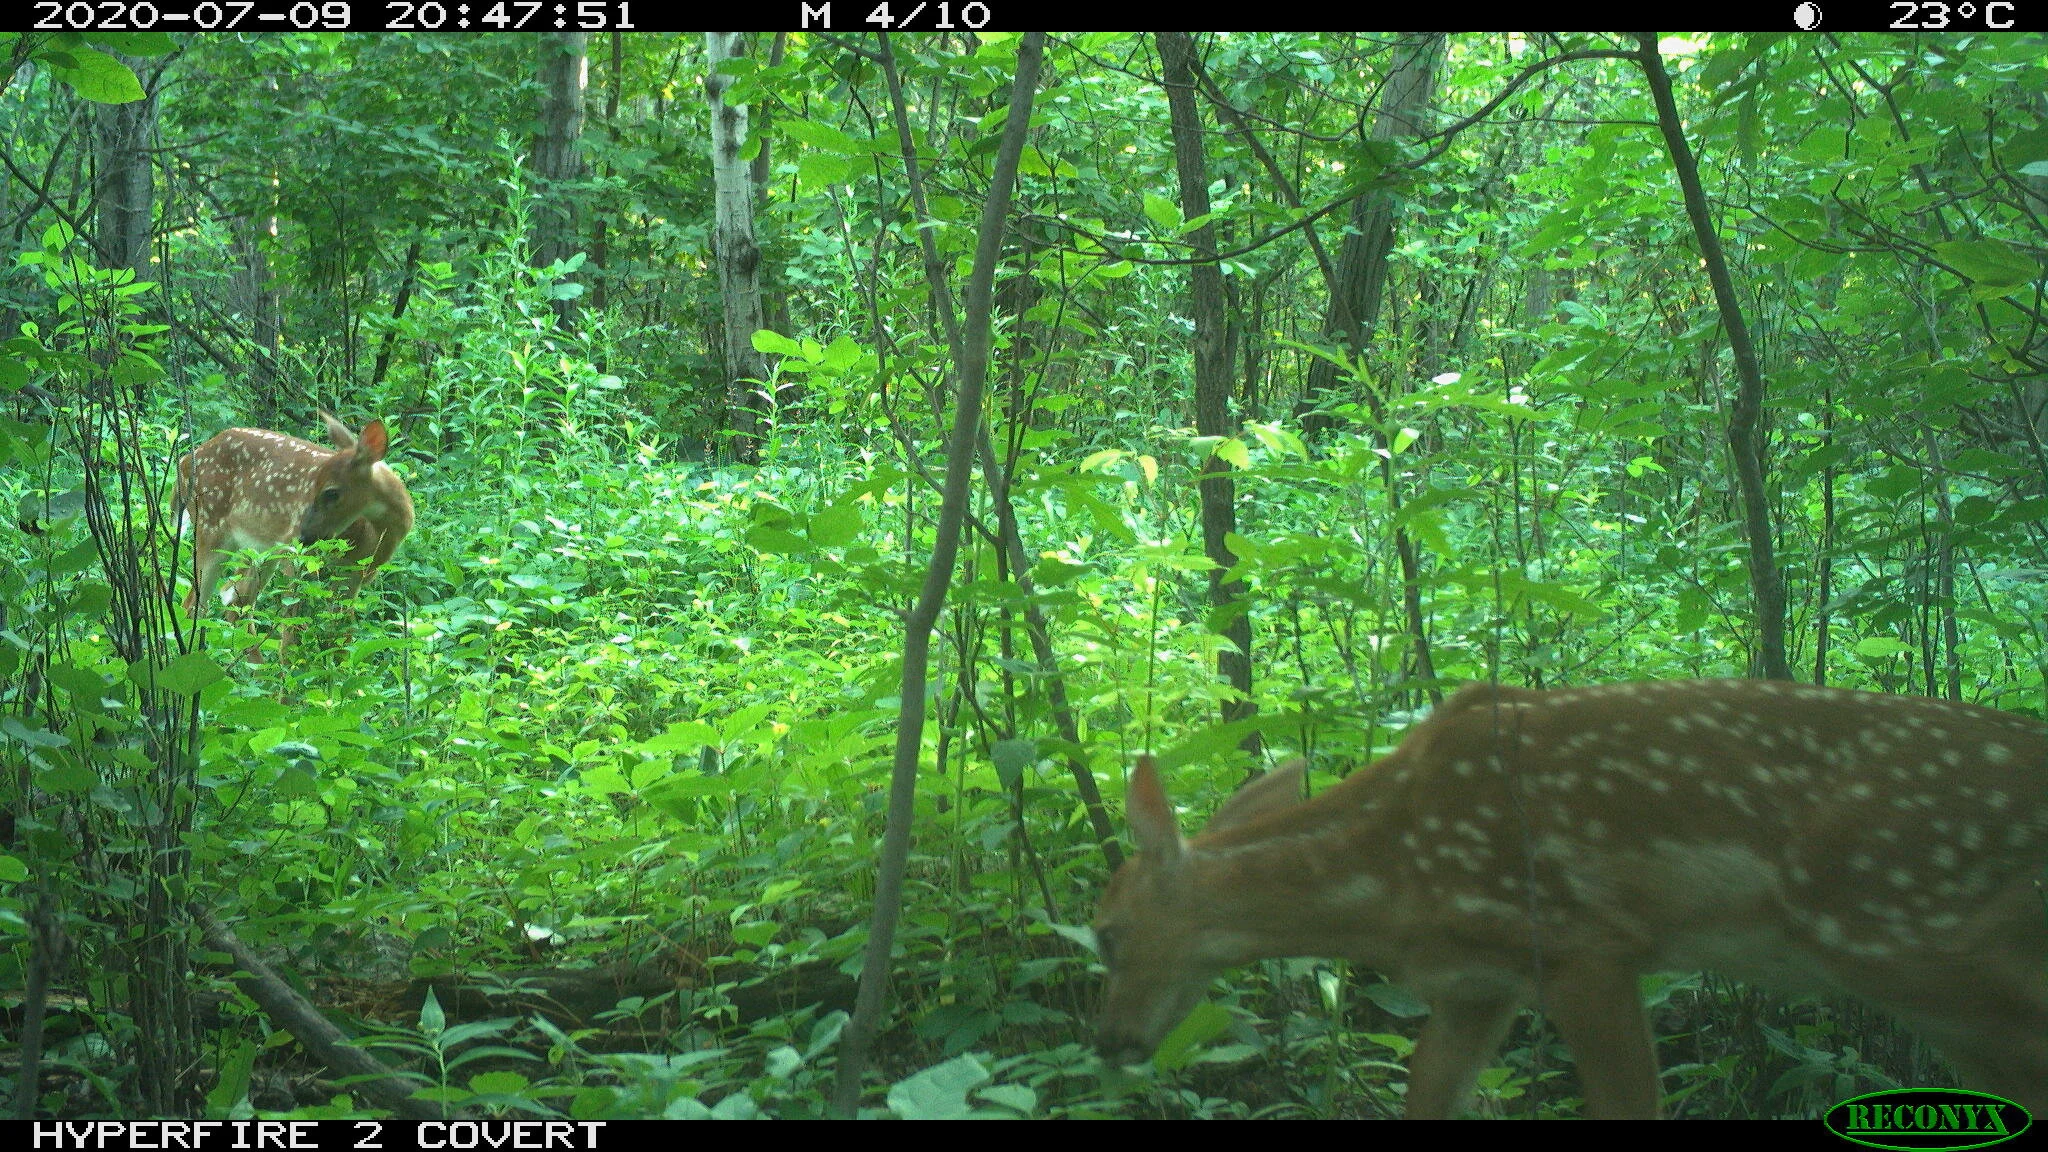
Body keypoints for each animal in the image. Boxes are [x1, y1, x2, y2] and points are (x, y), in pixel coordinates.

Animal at [175, 411, 414, 626]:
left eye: (331, 492)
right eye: (313, 485)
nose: (304, 536)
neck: (371, 538)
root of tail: (184, 461)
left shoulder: (354, 576)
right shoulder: (298, 560)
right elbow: (293, 626)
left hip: (259, 547)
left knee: (236, 598)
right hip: (210, 526)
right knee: (194, 603)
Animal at [1092, 679, 2048, 1119]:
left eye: (1104, 932)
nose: (1112, 1044)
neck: (1390, 880)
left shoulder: (1585, 944)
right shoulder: (1476, 985)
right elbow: (1425, 1093)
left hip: (1912, 935)